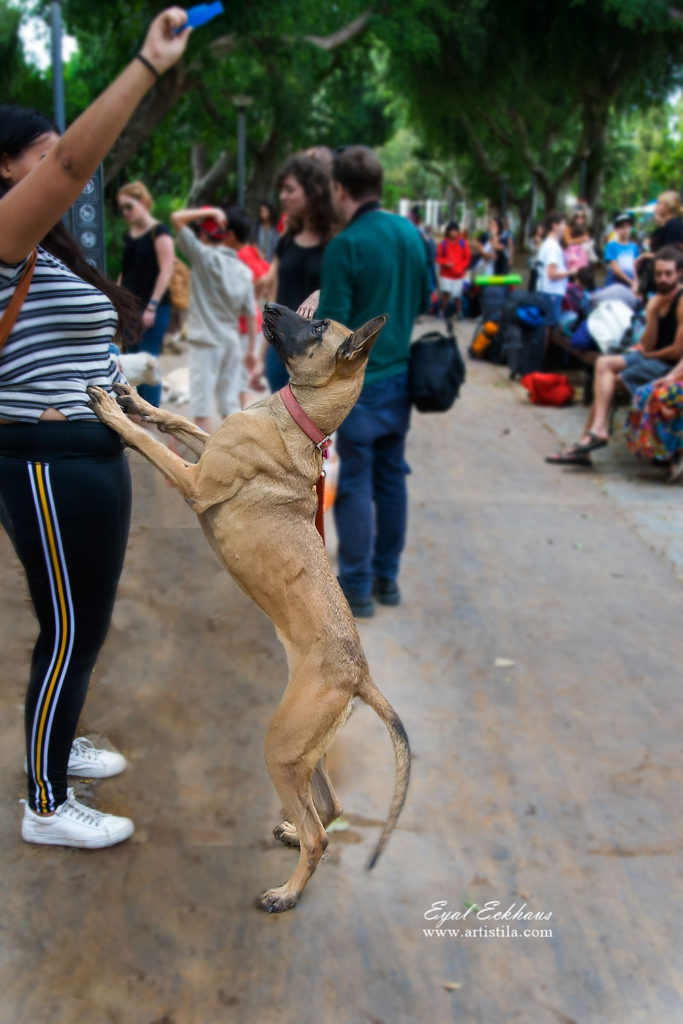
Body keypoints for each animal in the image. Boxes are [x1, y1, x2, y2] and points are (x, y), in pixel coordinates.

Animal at [89, 301, 413, 913]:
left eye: (317, 327)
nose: (270, 305)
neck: (298, 421)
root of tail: (361, 674)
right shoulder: (206, 448)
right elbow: (178, 423)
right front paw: (138, 400)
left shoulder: (193, 480)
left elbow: (151, 443)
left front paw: (115, 414)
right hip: (303, 750)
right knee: (328, 809)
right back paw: (291, 834)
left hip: (280, 749)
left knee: (319, 834)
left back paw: (286, 893)